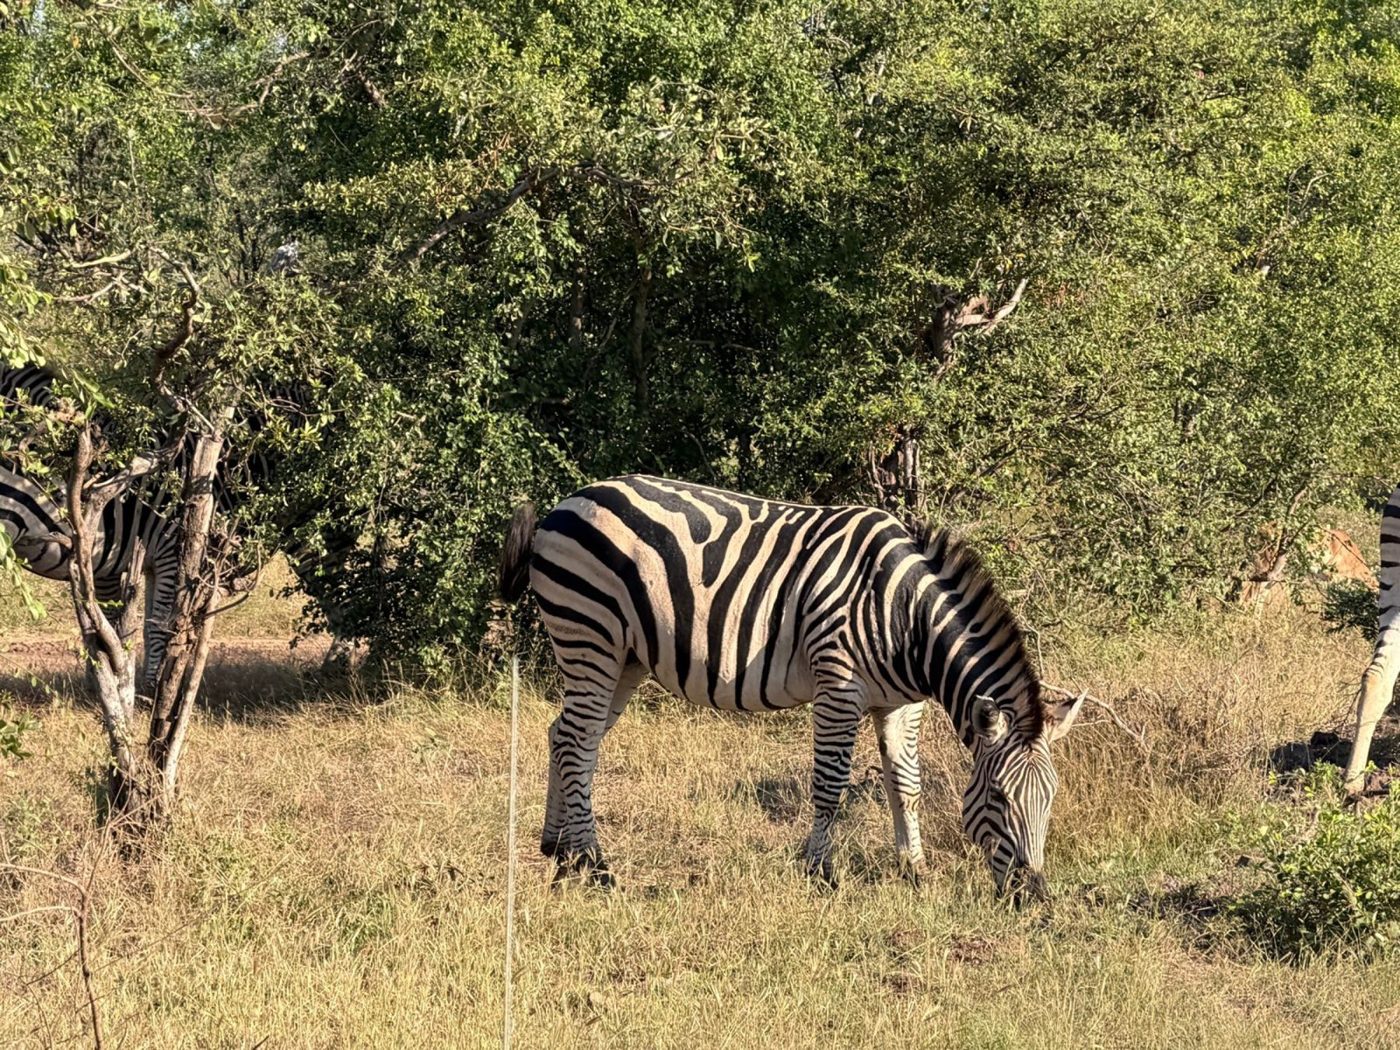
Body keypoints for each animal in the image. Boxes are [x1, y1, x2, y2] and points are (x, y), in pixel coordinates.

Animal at [0, 362, 356, 692]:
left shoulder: (149, 562)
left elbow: (142, 626)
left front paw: (130, 685)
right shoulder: (173, 550)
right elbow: (159, 624)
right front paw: (151, 691)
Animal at [498, 474, 1083, 900]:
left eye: (1052, 798)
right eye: (999, 797)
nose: (1034, 897)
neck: (905, 618)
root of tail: (563, 505)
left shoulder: (900, 704)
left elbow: (906, 785)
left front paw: (913, 871)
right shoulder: (838, 684)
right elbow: (829, 783)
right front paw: (820, 873)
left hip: (624, 656)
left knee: (568, 737)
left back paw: (560, 851)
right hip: (589, 632)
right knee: (576, 743)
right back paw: (595, 867)